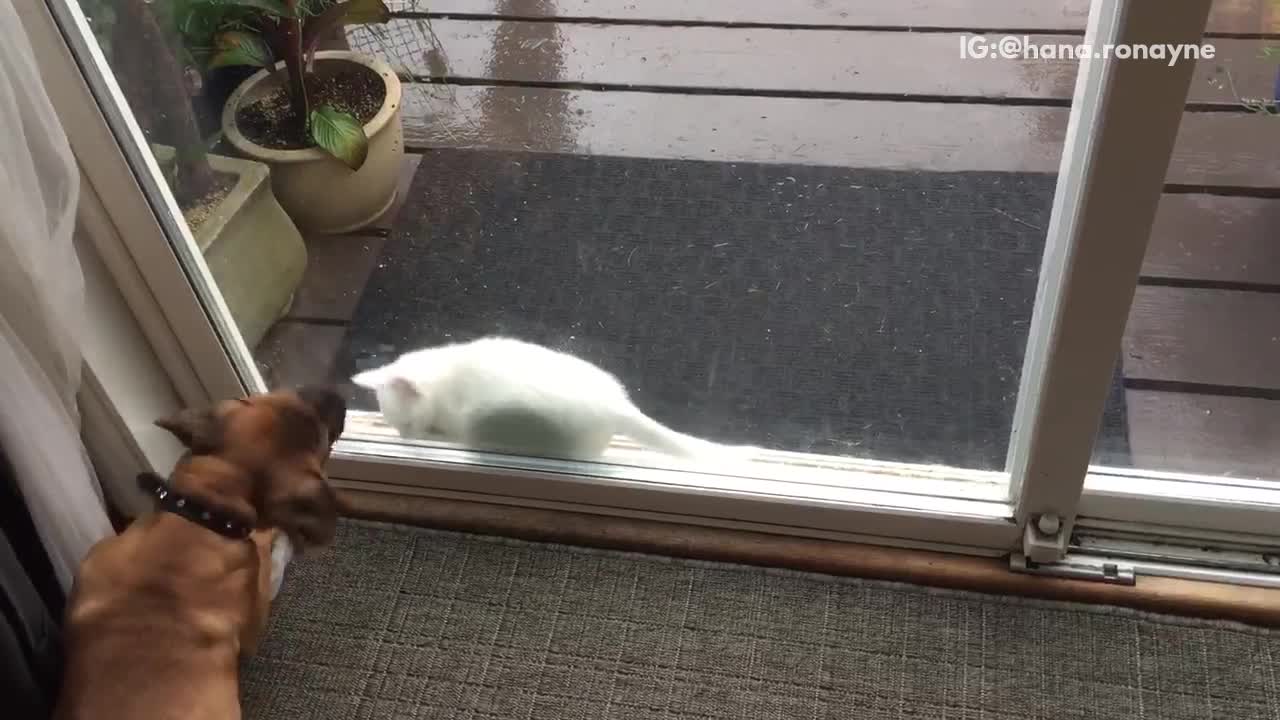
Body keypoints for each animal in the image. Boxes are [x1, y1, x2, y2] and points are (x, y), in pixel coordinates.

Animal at [53, 386, 345, 717]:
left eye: (265, 397)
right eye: (322, 439)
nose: (335, 392)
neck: (201, 511)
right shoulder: (254, 619)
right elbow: (267, 553)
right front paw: (281, 538)